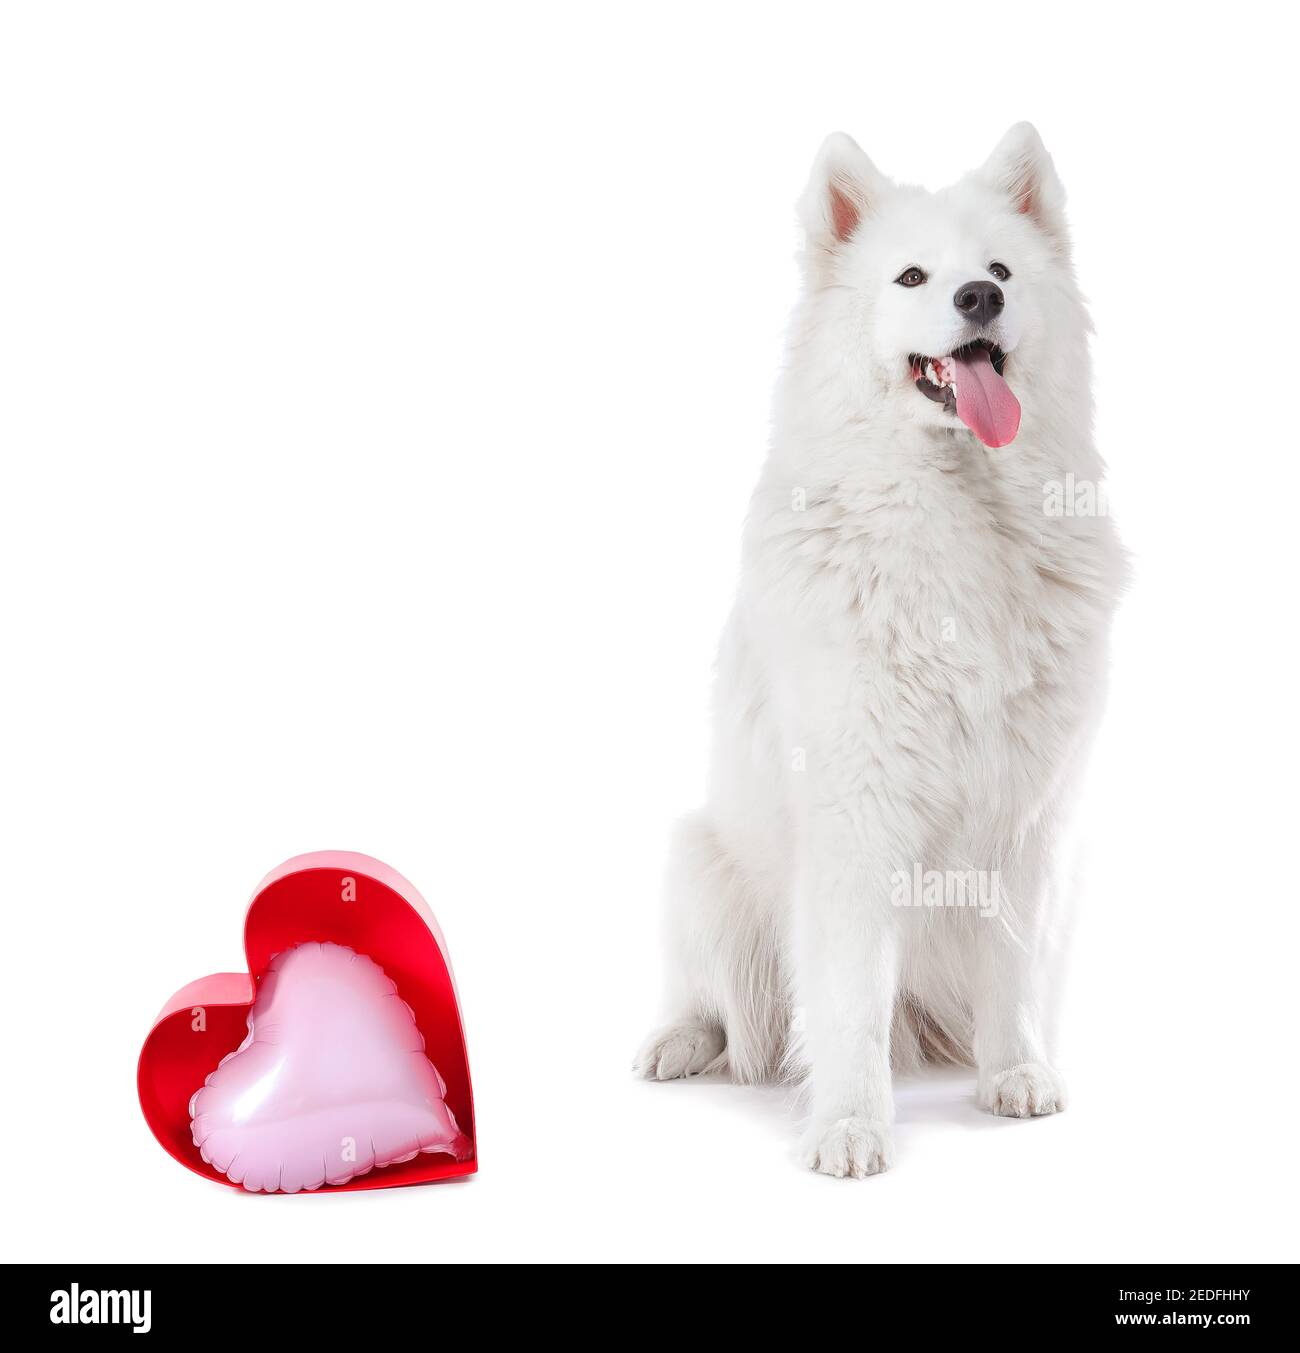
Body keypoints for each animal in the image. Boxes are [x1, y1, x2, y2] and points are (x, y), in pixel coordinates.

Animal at [633, 129, 1120, 1185]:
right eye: (911, 277)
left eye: (1000, 271)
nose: (978, 298)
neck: (959, 519)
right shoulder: (855, 815)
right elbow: (850, 994)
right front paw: (851, 1126)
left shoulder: (1025, 813)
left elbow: (1011, 965)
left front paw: (1013, 1074)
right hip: (698, 859)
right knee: (719, 1006)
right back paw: (677, 1044)